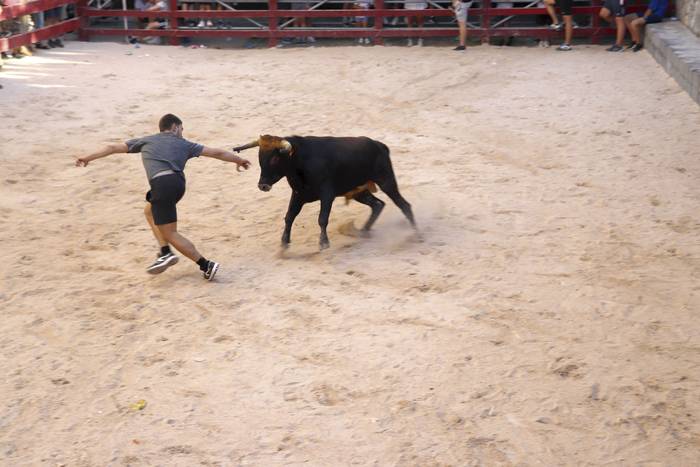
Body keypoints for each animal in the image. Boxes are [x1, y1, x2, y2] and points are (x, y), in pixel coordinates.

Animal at [234, 135, 416, 250]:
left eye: (275, 159)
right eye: (260, 159)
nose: (262, 185)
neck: (300, 161)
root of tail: (379, 145)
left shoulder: (327, 195)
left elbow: (322, 219)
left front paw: (324, 243)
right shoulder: (298, 195)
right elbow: (289, 216)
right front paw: (284, 243)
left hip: (386, 181)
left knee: (403, 204)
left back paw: (414, 233)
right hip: (358, 191)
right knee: (378, 204)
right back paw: (363, 231)